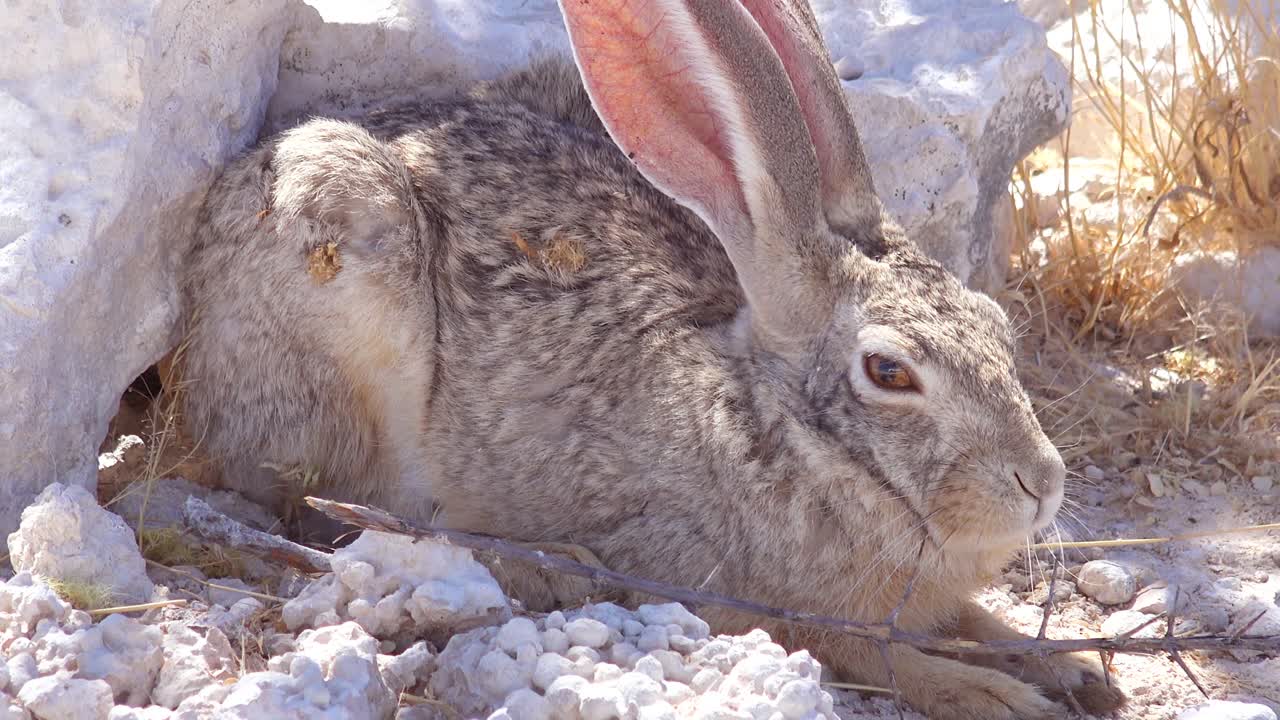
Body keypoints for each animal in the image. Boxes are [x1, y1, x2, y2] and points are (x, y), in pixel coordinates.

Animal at [176, 0, 1126, 716]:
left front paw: (1075, 669)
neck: (778, 435)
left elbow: (978, 618)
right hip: (344, 272)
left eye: (998, 327)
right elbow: (863, 648)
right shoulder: (715, 590)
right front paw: (1001, 696)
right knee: (318, 508)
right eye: (890, 372)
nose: (1041, 484)